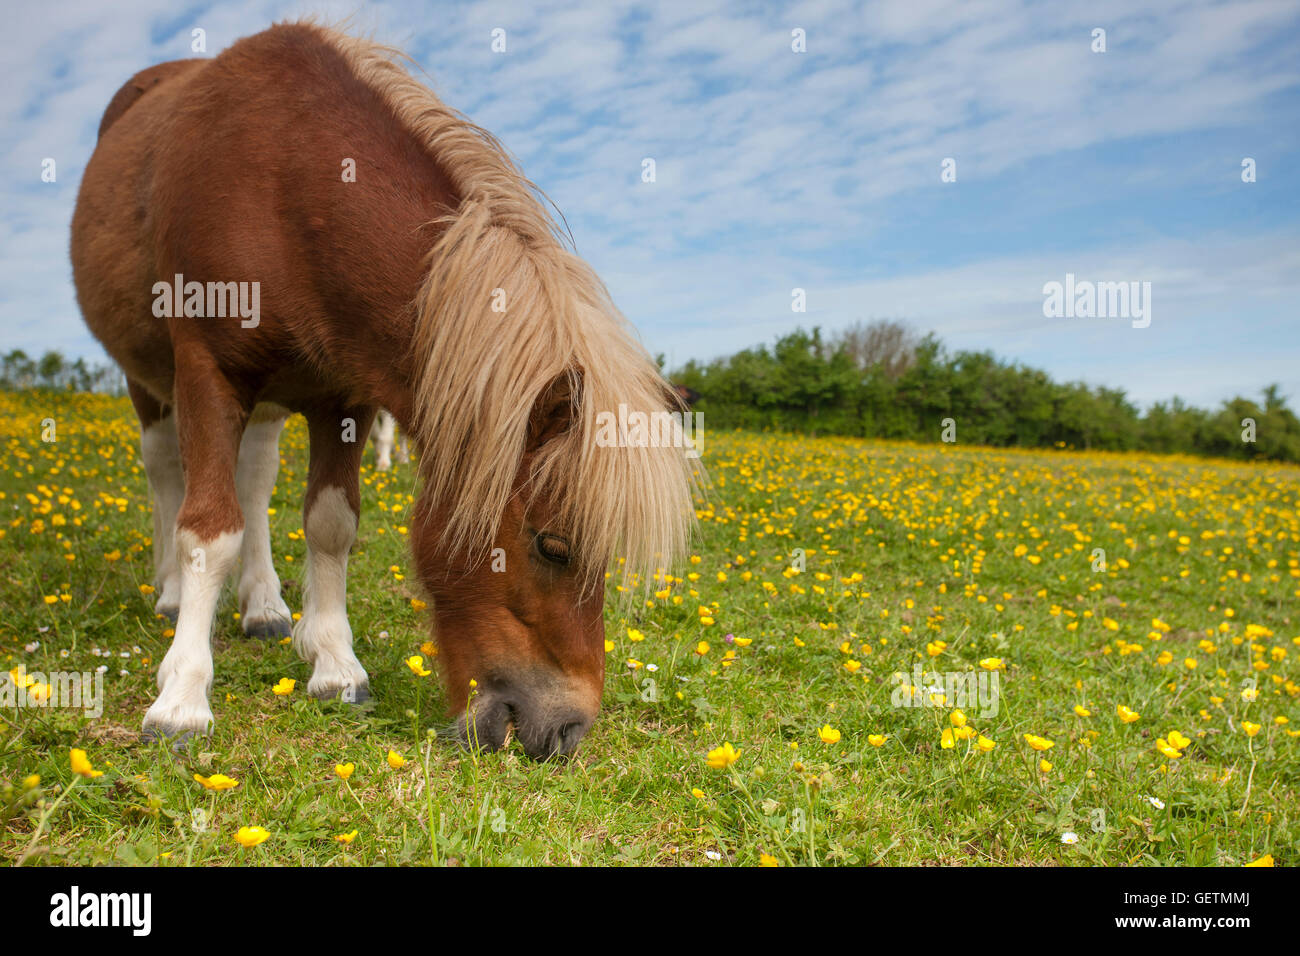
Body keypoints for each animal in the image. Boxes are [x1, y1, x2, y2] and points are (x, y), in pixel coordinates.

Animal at [70, 21, 697, 759]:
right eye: (551, 545)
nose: (568, 730)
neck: (284, 189)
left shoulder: (344, 398)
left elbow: (330, 524)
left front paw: (335, 666)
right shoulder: (205, 372)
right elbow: (208, 528)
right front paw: (182, 698)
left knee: (254, 482)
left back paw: (264, 606)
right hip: (150, 384)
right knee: (167, 474)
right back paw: (171, 594)